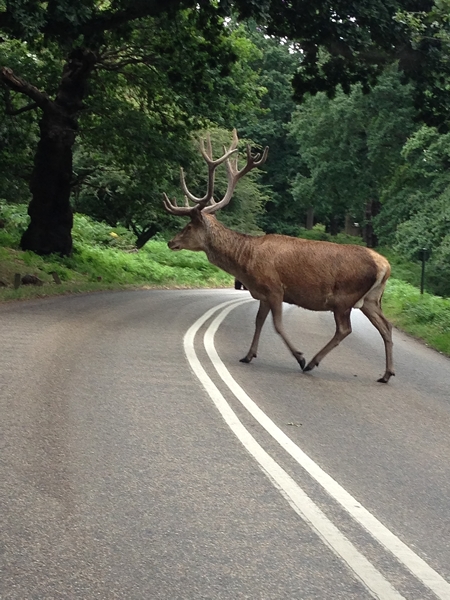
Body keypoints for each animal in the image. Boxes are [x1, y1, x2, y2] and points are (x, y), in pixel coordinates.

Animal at [163, 132, 394, 384]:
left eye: (188, 226)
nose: (170, 242)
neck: (246, 259)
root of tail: (385, 265)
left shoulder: (274, 287)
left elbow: (277, 325)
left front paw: (300, 357)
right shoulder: (262, 294)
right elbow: (258, 321)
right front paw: (248, 355)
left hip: (344, 297)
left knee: (345, 329)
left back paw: (312, 362)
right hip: (371, 299)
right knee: (386, 326)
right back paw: (386, 374)